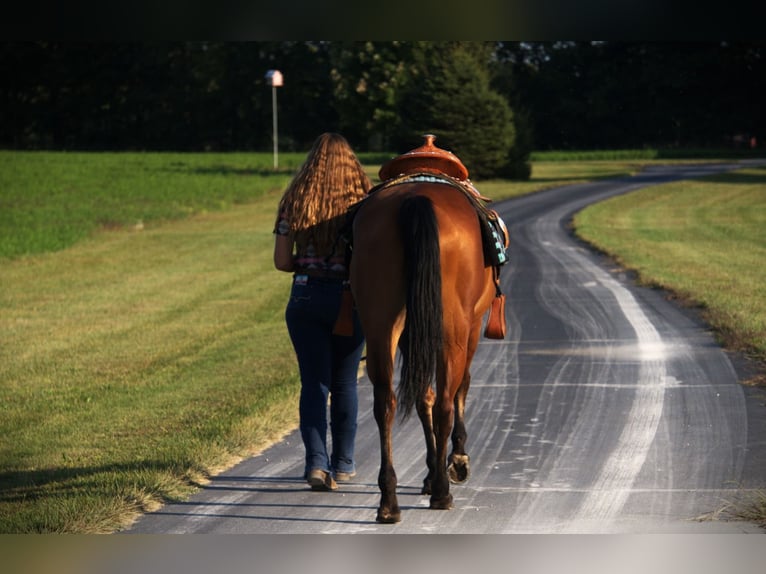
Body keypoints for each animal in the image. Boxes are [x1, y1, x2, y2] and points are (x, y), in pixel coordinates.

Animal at [349, 140, 503, 523]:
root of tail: (416, 198)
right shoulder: (471, 328)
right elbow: (458, 388)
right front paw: (452, 463)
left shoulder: (410, 334)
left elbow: (422, 397)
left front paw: (431, 472)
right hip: (453, 328)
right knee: (447, 399)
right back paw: (444, 492)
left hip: (380, 324)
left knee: (386, 403)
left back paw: (389, 500)